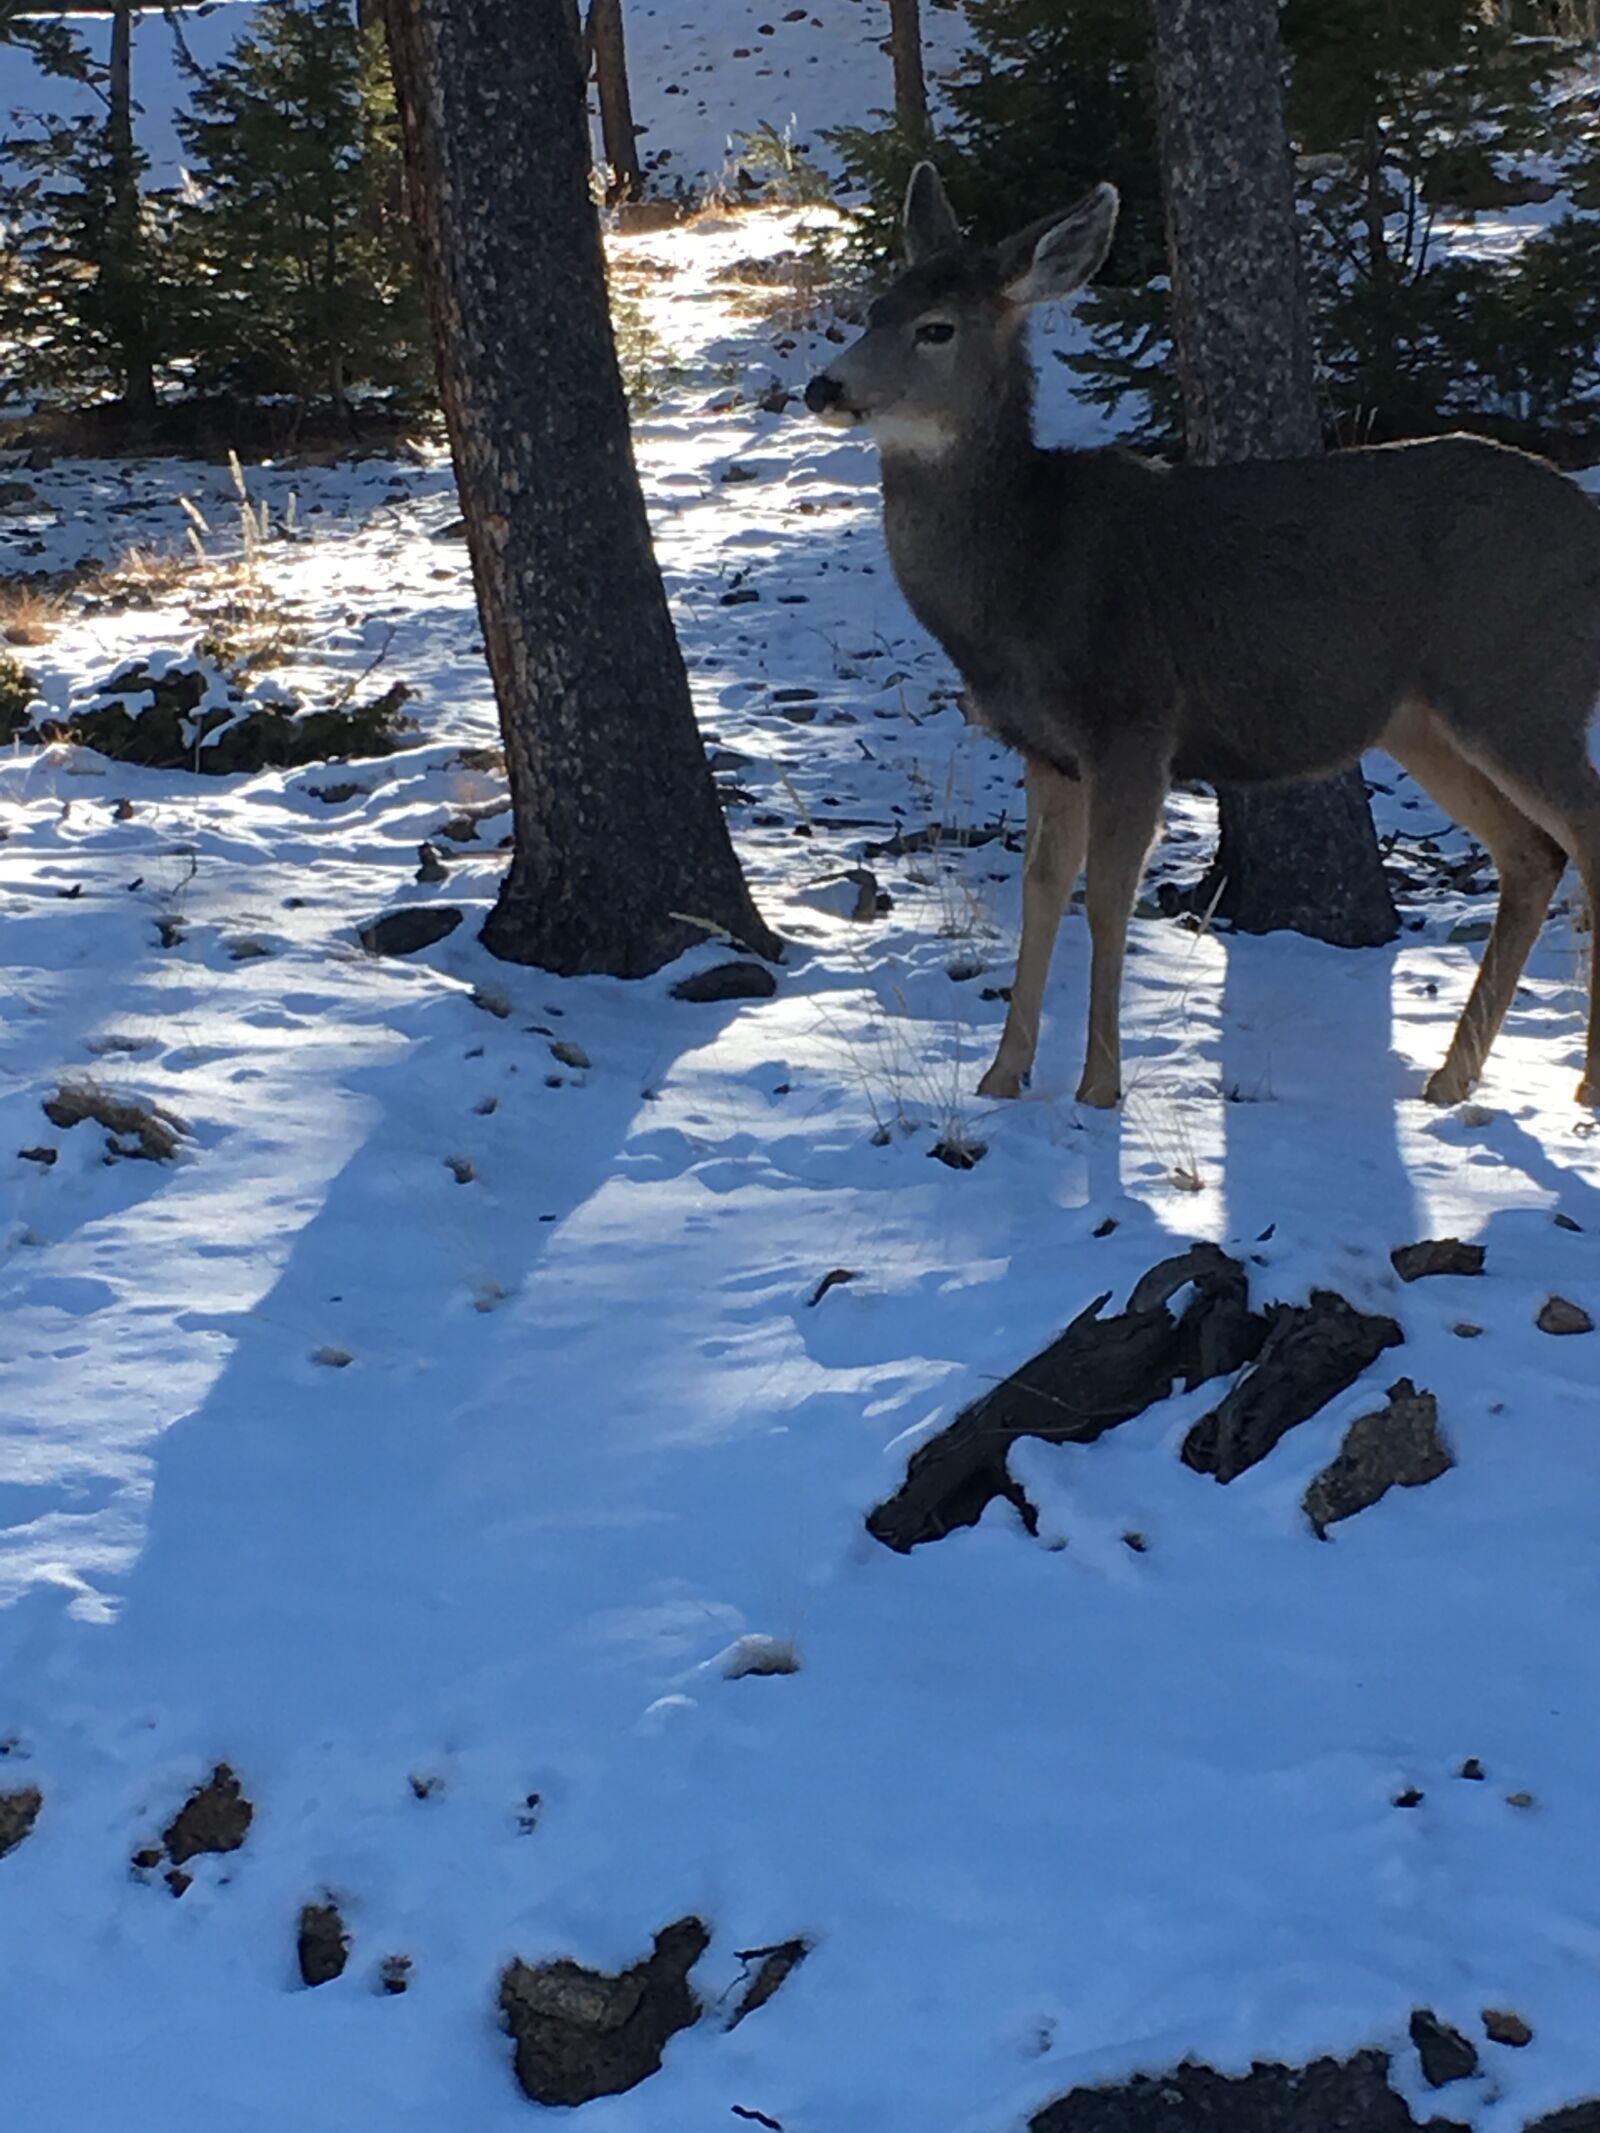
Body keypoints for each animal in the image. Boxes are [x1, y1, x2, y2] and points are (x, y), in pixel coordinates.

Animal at [806, 157, 1600, 1109]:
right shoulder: (1048, 749)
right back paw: (1450, 1079)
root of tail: (1595, 523)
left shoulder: (1136, 720)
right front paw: (1002, 1075)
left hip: (1520, 683)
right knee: (1532, 852)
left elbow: (1108, 896)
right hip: (1426, 720)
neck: (1029, 572)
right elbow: (1041, 891)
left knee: (1586, 833)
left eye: (937, 328)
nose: (822, 386)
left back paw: (1582, 1086)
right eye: (872, 309)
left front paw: (1098, 1089)